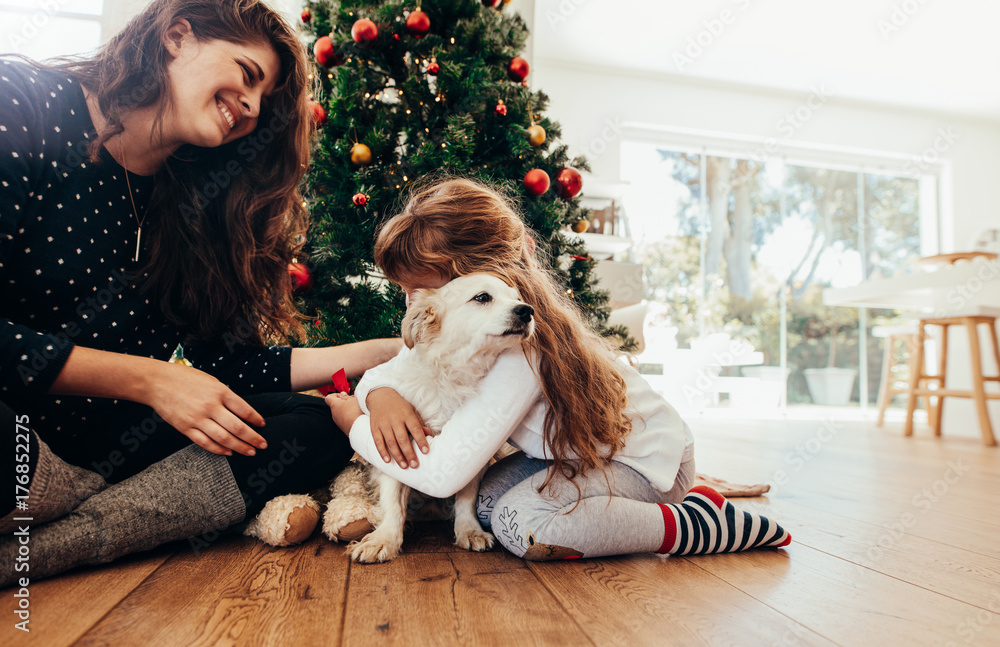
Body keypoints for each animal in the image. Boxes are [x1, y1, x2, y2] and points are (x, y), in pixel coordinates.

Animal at [324, 274, 536, 560]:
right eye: (482, 297)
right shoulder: (395, 447)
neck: (450, 376)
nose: (527, 311)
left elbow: (466, 497)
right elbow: (392, 502)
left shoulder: (471, 458)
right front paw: (384, 539)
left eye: (516, 298)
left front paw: (469, 530)